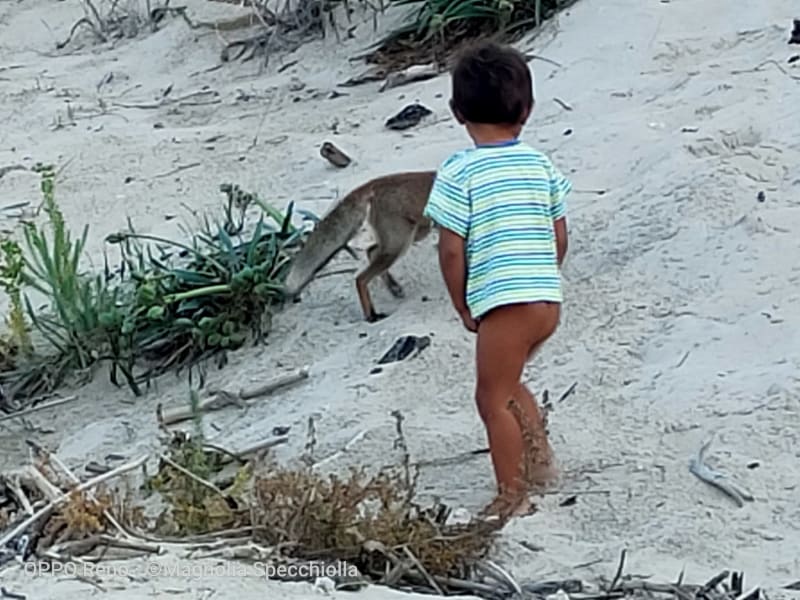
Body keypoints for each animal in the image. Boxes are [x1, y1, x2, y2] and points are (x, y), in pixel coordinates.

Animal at [283, 171, 436, 322]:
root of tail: (376, 182)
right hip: (399, 245)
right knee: (361, 278)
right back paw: (371, 315)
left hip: (411, 236)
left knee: (370, 251)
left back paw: (393, 288)